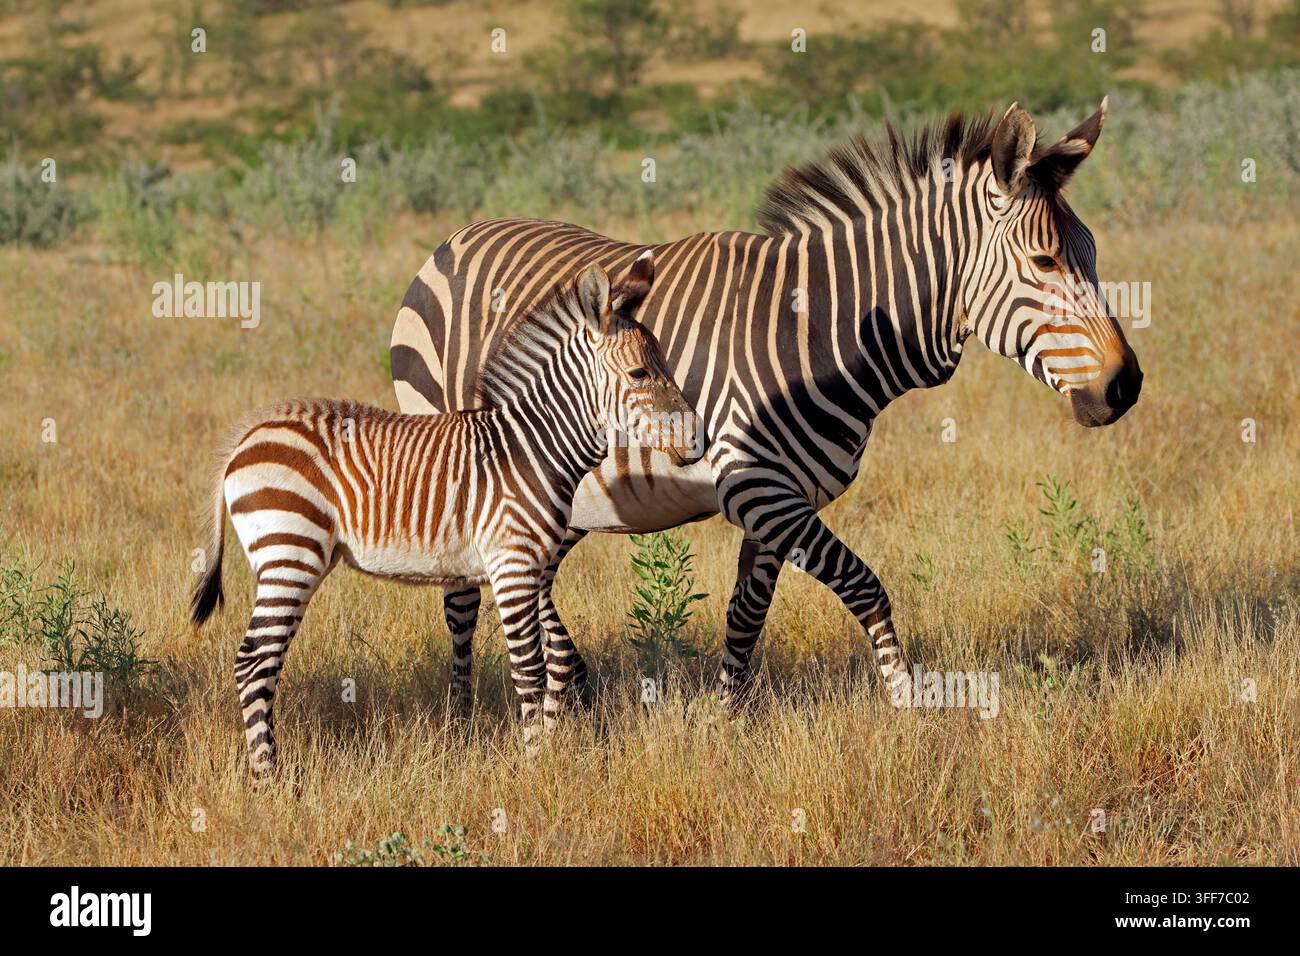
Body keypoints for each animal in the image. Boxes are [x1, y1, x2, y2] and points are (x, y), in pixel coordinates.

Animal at [190, 255, 698, 773]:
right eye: (639, 374)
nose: (697, 441)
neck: (531, 447)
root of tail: (247, 435)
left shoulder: (535, 567)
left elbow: (549, 661)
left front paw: (547, 752)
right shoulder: (511, 565)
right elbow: (530, 669)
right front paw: (534, 762)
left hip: (290, 560)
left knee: (264, 660)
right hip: (289, 554)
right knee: (253, 661)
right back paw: (268, 774)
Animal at [389, 99, 1143, 710]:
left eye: (1092, 251)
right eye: (1046, 262)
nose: (1126, 386)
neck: (820, 330)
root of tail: (455, 238)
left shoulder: (780, 499)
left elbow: (746, 615)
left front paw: (727, 719)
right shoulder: (760, 489)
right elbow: (865, 586)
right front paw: (908, 703)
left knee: (530, 580)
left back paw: (573, 690)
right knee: (464, 592)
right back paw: (470, 713)